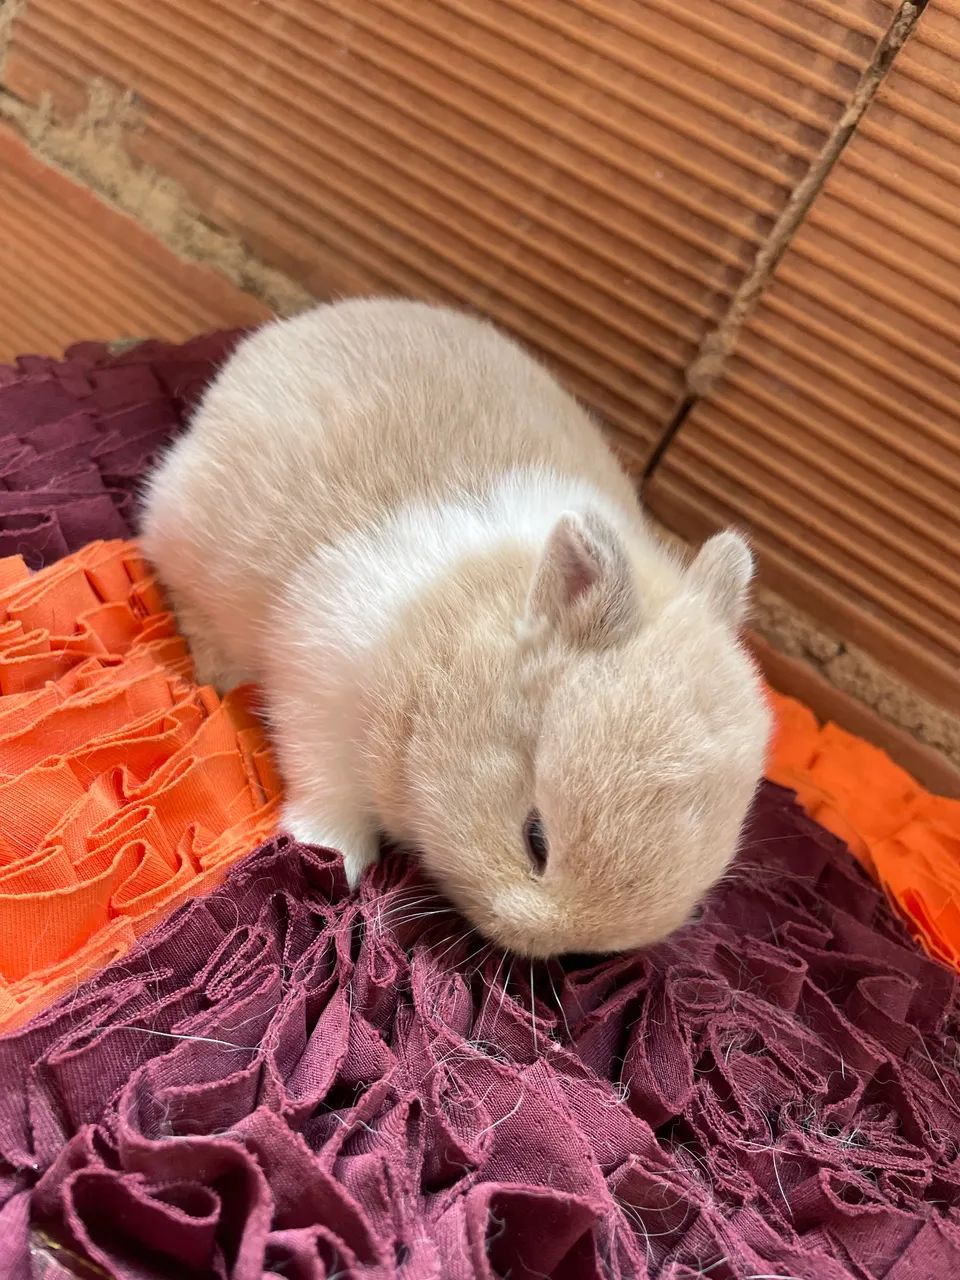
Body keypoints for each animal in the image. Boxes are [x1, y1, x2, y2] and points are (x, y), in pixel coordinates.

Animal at [140, 298, 771, 958]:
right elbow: (331, 793)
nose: (545, 945)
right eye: (535, 838)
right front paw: (332, 856)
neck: (444, 665)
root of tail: (276, 338)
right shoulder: (320, 693)